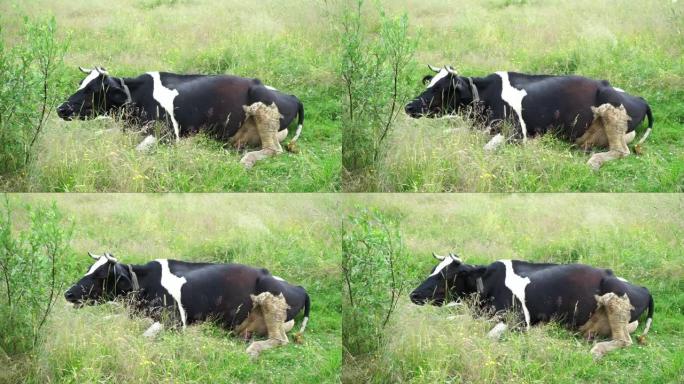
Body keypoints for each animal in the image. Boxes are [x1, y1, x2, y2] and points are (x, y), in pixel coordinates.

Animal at [63, 252, 310, 356]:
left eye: (100, 275)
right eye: (88, 269)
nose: (68, 294)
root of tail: (299, 287)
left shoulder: (174, 321)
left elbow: (143, 337)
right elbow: (106, 320)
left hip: (271, 299)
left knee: (280, 339)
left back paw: (253, 349)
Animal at [404, 64, 656, 168]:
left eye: (440, 88)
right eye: (430, 83)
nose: (408, 106)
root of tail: (640, 98)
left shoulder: (515, 133)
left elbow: (484, 149)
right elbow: (448, 133)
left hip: (611, 107)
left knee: (621, 151)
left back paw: (594, 161)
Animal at [408, 254, 656, 358]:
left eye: (447, 276)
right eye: (433, 269)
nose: (413, 294)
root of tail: (643, 288)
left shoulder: (518, 321)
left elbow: (488, 337)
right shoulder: (479, 315)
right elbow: (451, 320)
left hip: (615, 299)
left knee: (624, 340)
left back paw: (597, 350)